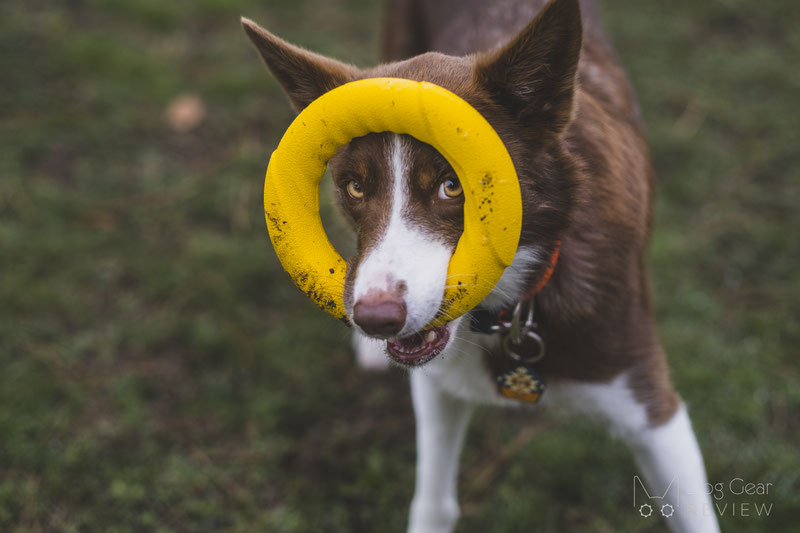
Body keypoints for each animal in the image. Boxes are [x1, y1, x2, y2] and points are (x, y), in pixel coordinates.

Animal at [242, 2, 720, 528]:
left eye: (453, 185)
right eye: (355, 187)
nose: (374, 319)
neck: (510, 311)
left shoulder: (655, 413)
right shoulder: (439, 385)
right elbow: (433, 502)